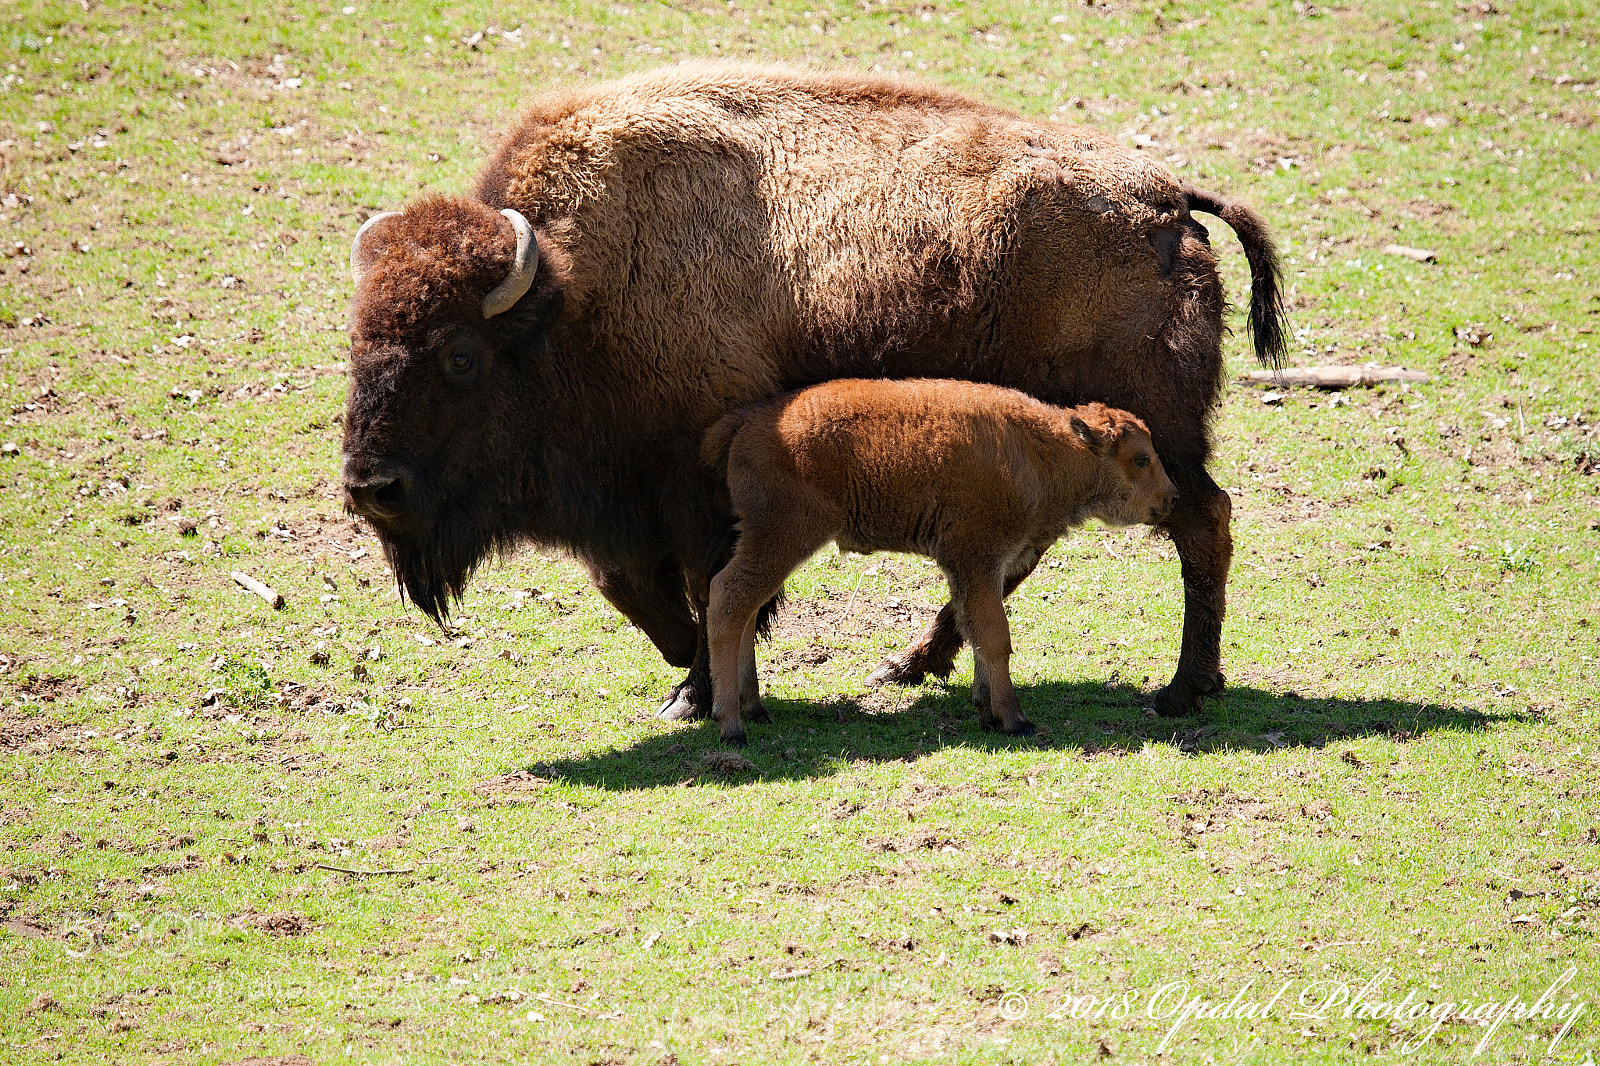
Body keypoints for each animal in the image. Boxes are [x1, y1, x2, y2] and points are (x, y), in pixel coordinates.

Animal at [341, 63, 1285, 722]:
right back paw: (914, 664)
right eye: (357, 337)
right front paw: (699, 679)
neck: (571, 293)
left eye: (460, 353)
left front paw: (697, 689)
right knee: (1030, 554)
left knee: (1200, 522)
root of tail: (1167, 201)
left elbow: (707, 587)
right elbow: (638, 585)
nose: (369, 487)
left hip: (1156, 436)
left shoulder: (691, 490)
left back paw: (1182, 691)